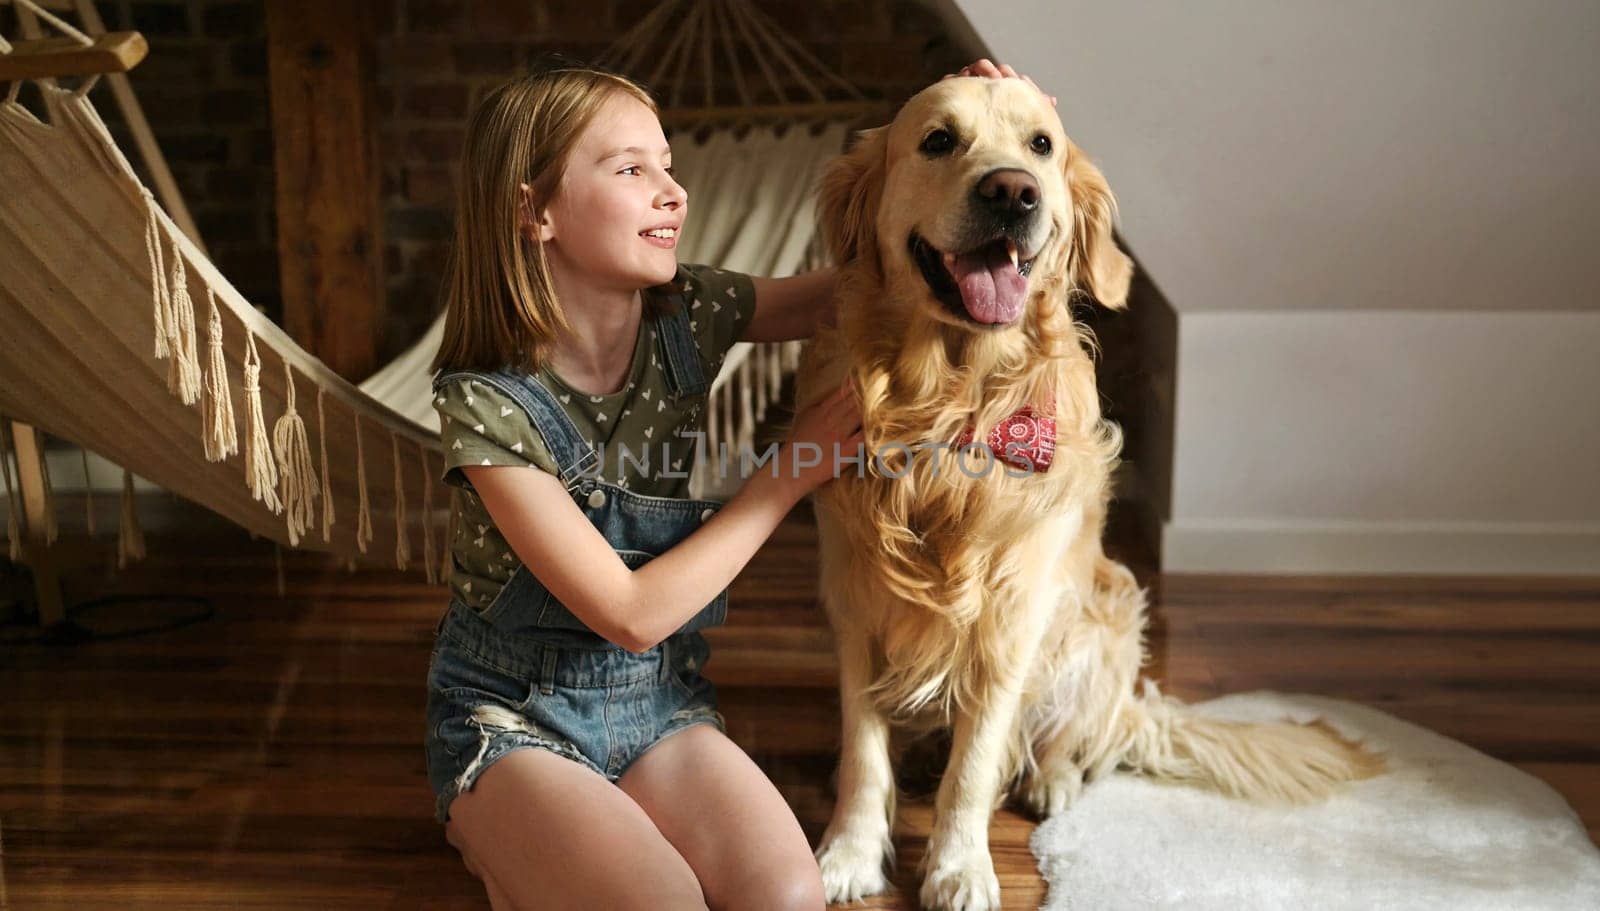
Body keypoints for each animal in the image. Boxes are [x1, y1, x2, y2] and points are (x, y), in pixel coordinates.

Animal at [800, 78, 1388, 909]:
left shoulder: (1012, 622)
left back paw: (1052, 780)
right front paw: (848, 851)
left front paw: (959, 866)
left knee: (1064, 743)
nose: (1012, 191)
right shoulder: (855, 601)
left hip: (1104, 620)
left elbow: (975, 766)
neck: (952, 407)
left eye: (1041, 145)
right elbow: (863, 748)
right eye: (938, 140)